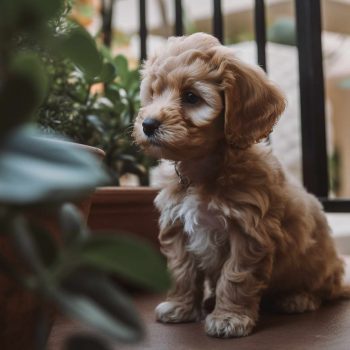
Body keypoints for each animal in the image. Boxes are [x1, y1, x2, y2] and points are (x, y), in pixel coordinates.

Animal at [132, 33, 348, 340]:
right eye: (154, 93)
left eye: (191, 97)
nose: (148, 124)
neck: (203, 171)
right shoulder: (177, 227)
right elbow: (182, 270)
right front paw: (180, 307)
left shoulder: (247, 231)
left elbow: (235, 276)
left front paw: (228, 318)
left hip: (318, 261)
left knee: (323, 289)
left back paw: (297, 298)